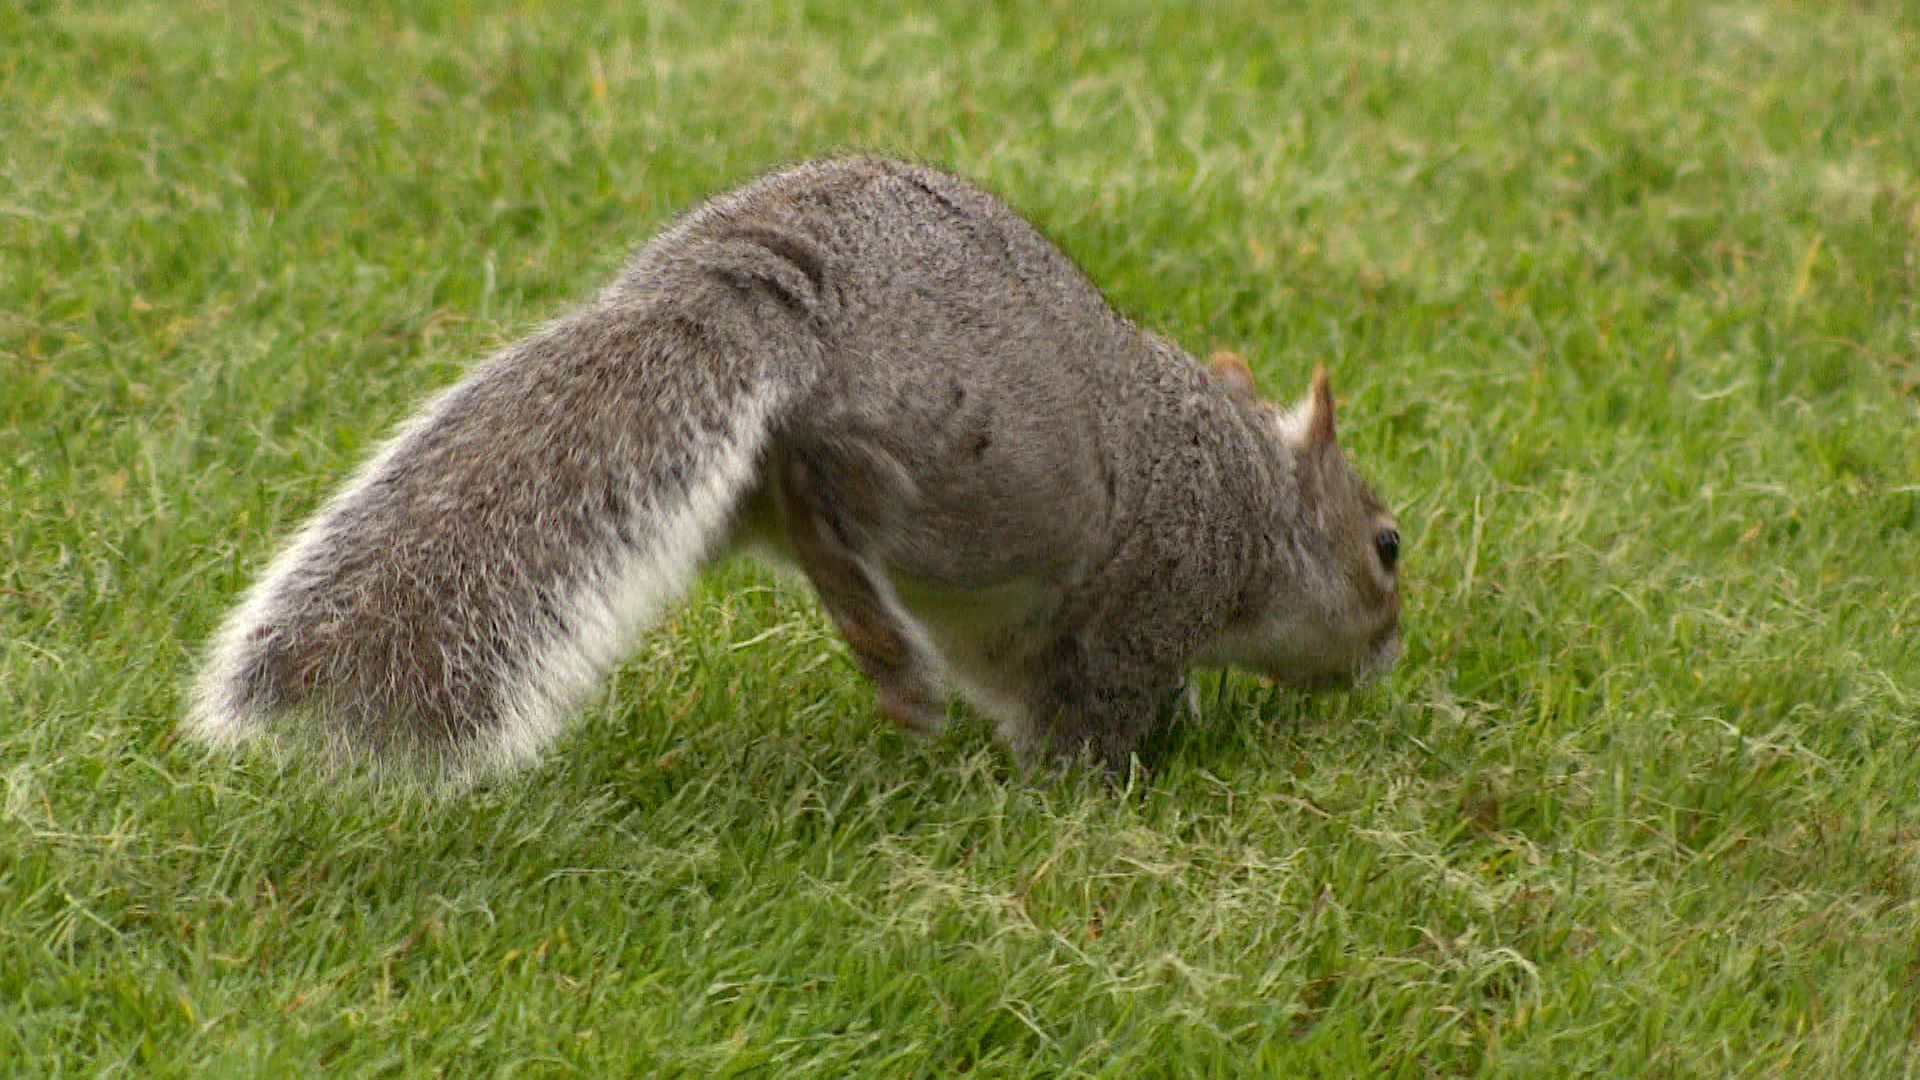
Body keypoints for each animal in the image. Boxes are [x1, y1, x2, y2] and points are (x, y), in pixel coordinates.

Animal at [187, 155, 1405, 772]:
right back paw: (889, 653)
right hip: (989, 477)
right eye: (1388, 546)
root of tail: (749, 282)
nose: (1387, 654)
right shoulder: (1153, 596)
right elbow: (1095, 706)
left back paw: (878, 645)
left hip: (711, 487)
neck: (1253, 498)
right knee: (836, 493)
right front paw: (1100, 787)